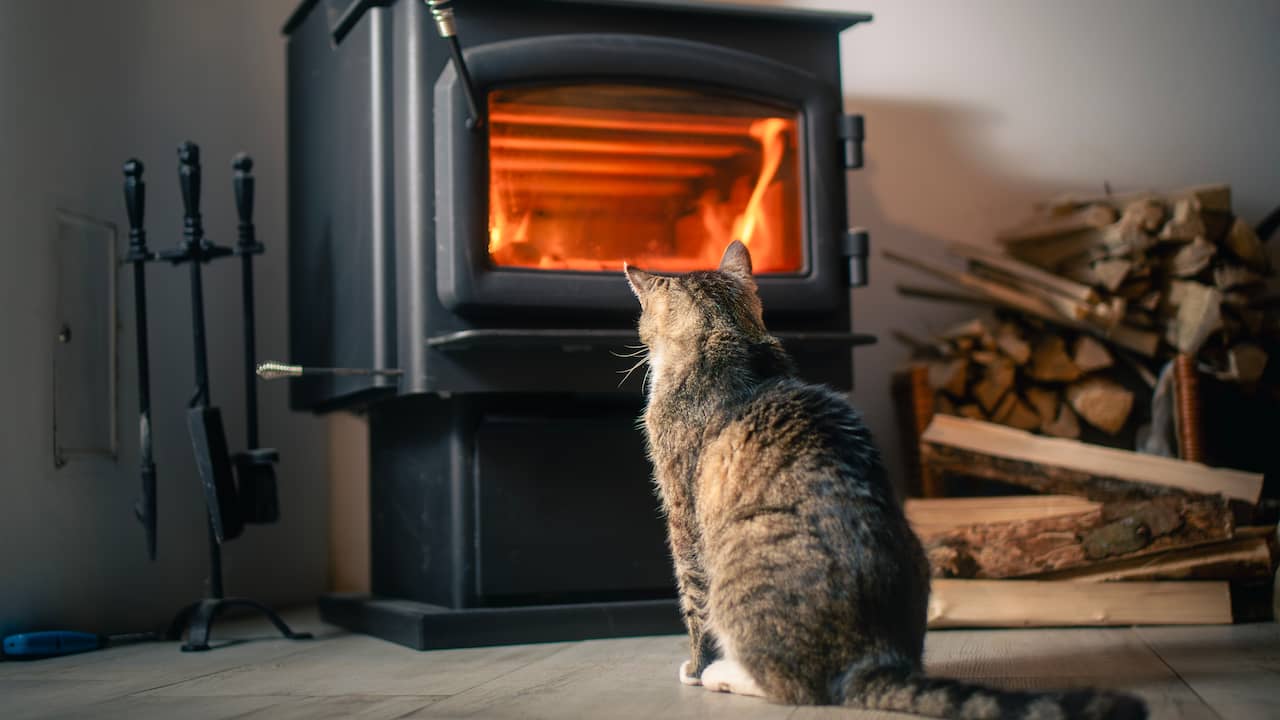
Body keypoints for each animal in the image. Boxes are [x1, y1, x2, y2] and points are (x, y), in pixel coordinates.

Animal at [624, 240, 1146, 717]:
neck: (728, 340)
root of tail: (874, 659)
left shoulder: (684, 520)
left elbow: (693, 603)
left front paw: (695, 668)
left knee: (790, 685)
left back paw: (723, 674)